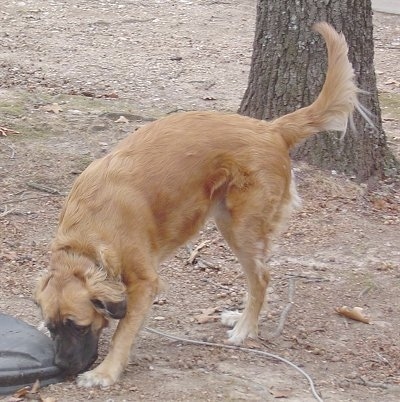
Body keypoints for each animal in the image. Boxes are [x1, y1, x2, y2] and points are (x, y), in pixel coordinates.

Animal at [35, 23, 366, 388]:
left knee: (262, 277)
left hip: (240, 228)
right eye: (53, 327)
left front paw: (105, 373)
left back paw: (246, 329)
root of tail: (270, 129)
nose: (61, 366)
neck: (87, 238)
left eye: (78, 327)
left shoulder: (144, 282)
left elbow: (123, 331)